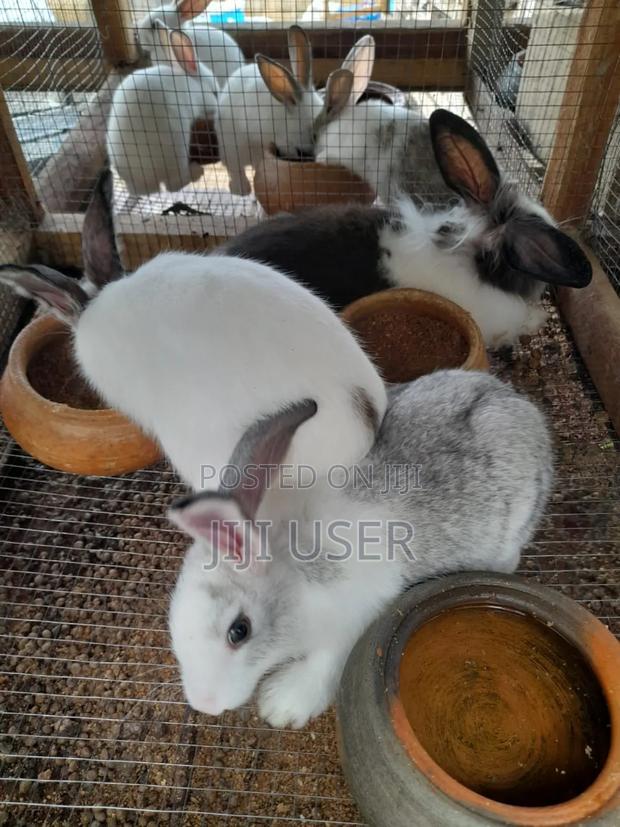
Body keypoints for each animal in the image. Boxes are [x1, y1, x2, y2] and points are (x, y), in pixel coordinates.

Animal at [107, 24, 219, 196]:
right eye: (215, 92)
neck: (193, 84)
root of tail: (141, 180)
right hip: (177, 145)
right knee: (173, 185)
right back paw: (196, 171)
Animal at [167, 368, 553, 727]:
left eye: (239, 630)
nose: (206, 704)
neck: (294, 571)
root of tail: (513, 400)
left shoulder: (354, 618)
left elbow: (325, 664)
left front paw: (283, 706)